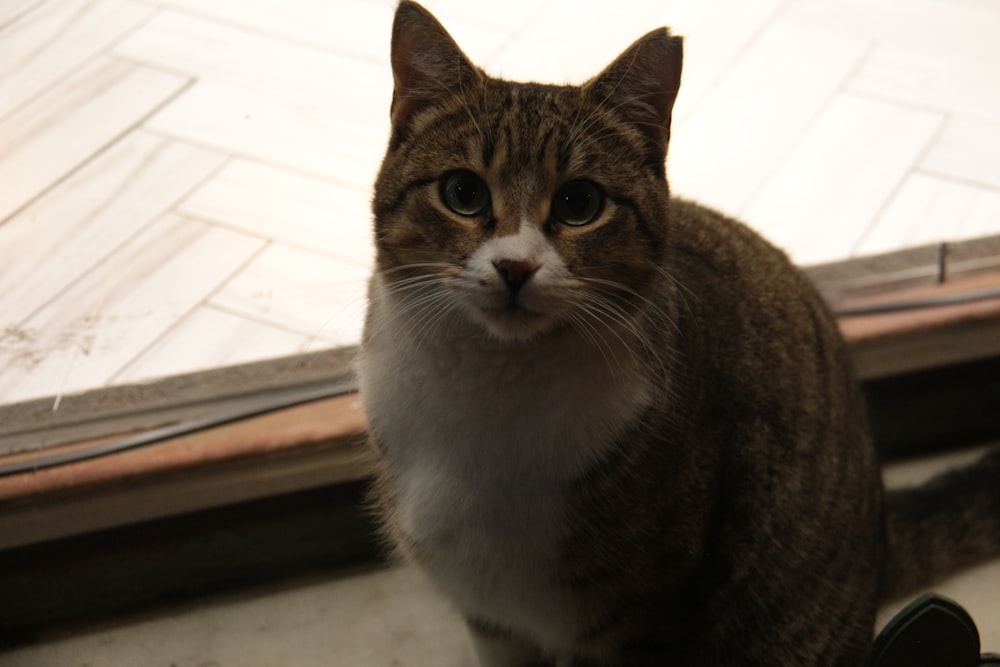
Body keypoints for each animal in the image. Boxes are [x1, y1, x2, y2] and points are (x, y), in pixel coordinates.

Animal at [358, 2, 1000, 664]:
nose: (515, 267)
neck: (496, 389)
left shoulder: (638, 619)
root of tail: (879, 540)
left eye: (580, 203)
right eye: (463, 192)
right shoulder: (493, 622)